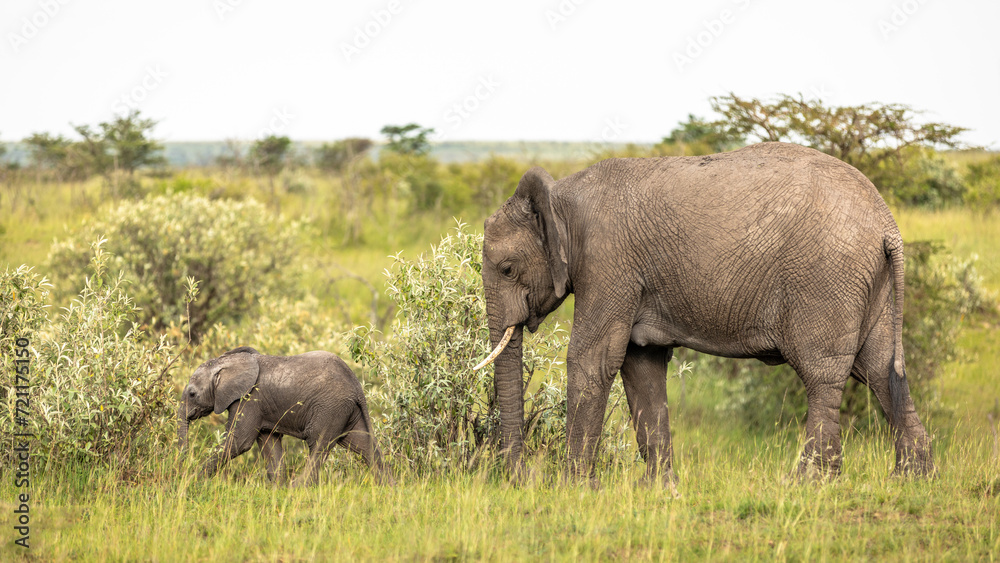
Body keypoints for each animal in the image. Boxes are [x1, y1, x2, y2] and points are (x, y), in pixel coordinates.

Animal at [178, 346, 388, 486]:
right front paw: (277, 488)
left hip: (330, 408)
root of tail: (356, 385)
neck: (225, 362)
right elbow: (269, 444)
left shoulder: (249, 399)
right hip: (347, 411)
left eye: (192, 394)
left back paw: (298, 488)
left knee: (318, 443)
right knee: (364, 445)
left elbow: (239, 442)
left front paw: (192, 480)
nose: (182, 465)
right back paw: (388, 489)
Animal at [472, 142, 932, 484]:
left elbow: (592, 359)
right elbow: (640, 364)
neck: (560, 199)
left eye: (507, 269)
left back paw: (808, 484)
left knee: (824, 374)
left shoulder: (608, 263)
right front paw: (660, 489)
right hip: (869, 281)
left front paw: (575, 489)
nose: (525, 476)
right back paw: (911, 479)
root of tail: (888, 225)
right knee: (879, 369)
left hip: (827, 277)